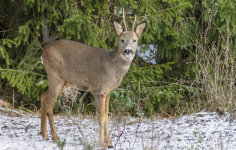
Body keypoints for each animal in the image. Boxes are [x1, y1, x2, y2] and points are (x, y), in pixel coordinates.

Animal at [40, 11, 148, 148]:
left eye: (135, 40)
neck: (112, 67)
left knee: (43, 96)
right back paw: (55, 137)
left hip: (63, 81)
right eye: (122, 40)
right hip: (55, 75)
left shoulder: (108, 92)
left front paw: (110, 143)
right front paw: (101, 143)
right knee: (50, 103)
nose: (128, 51)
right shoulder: (98, 89)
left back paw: (44, 135)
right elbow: (101, 116)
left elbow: (107, 116)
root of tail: (43, 53)